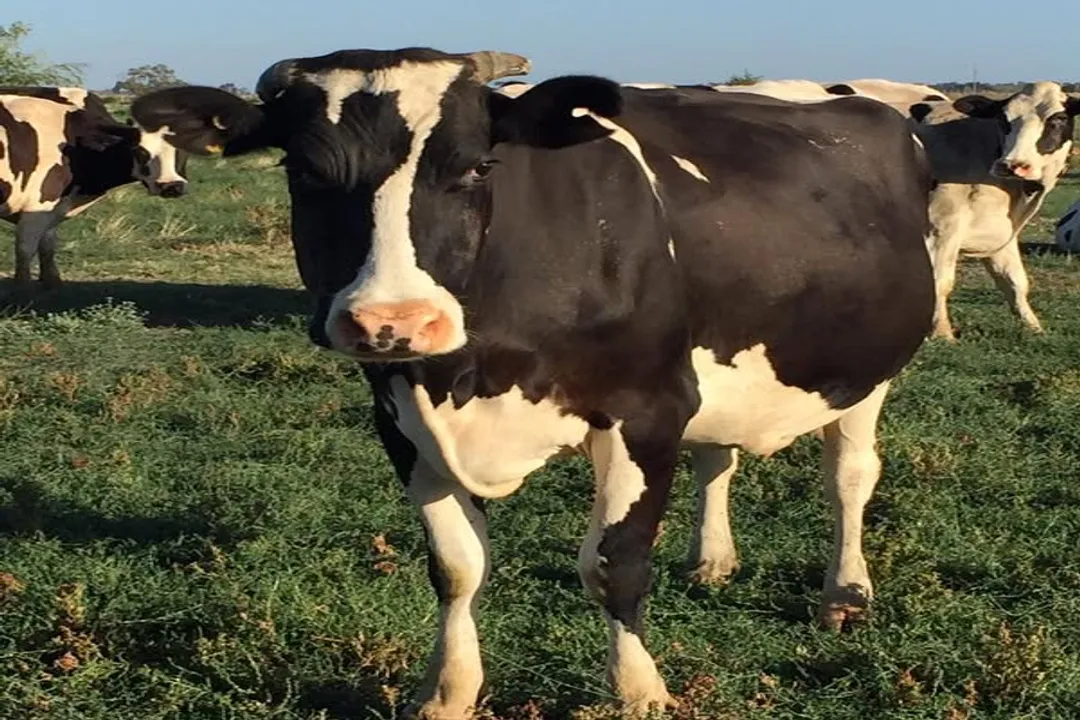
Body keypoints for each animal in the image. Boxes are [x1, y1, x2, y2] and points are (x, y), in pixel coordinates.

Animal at [0, 87, 189, 288]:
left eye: (185, 150)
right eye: (140, 151)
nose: (171, 186)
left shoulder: (54, 209)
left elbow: (47, 245)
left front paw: (52, 282)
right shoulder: (37, 207)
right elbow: (25, 252)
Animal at [132, 47, 935, 718]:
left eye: (479, 167)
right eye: (301, 171)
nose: (393, 320)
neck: (470, 371)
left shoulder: (648, 408)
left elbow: (615, 564)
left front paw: (639, 691)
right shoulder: (401, 419)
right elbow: (456, 567)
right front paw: (448, 692)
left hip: (870, 373)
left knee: (850, 475)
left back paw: (845, 593)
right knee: (719, 456)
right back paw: (711, 560)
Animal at [908, 82, 1078, 340]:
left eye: (1058, 119)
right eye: (1003, 119)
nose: (1012, 165)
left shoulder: (1000, 232)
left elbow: (1015, 280)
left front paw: (1033, 327)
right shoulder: (941, 227)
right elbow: (940, 280)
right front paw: (941, 333)